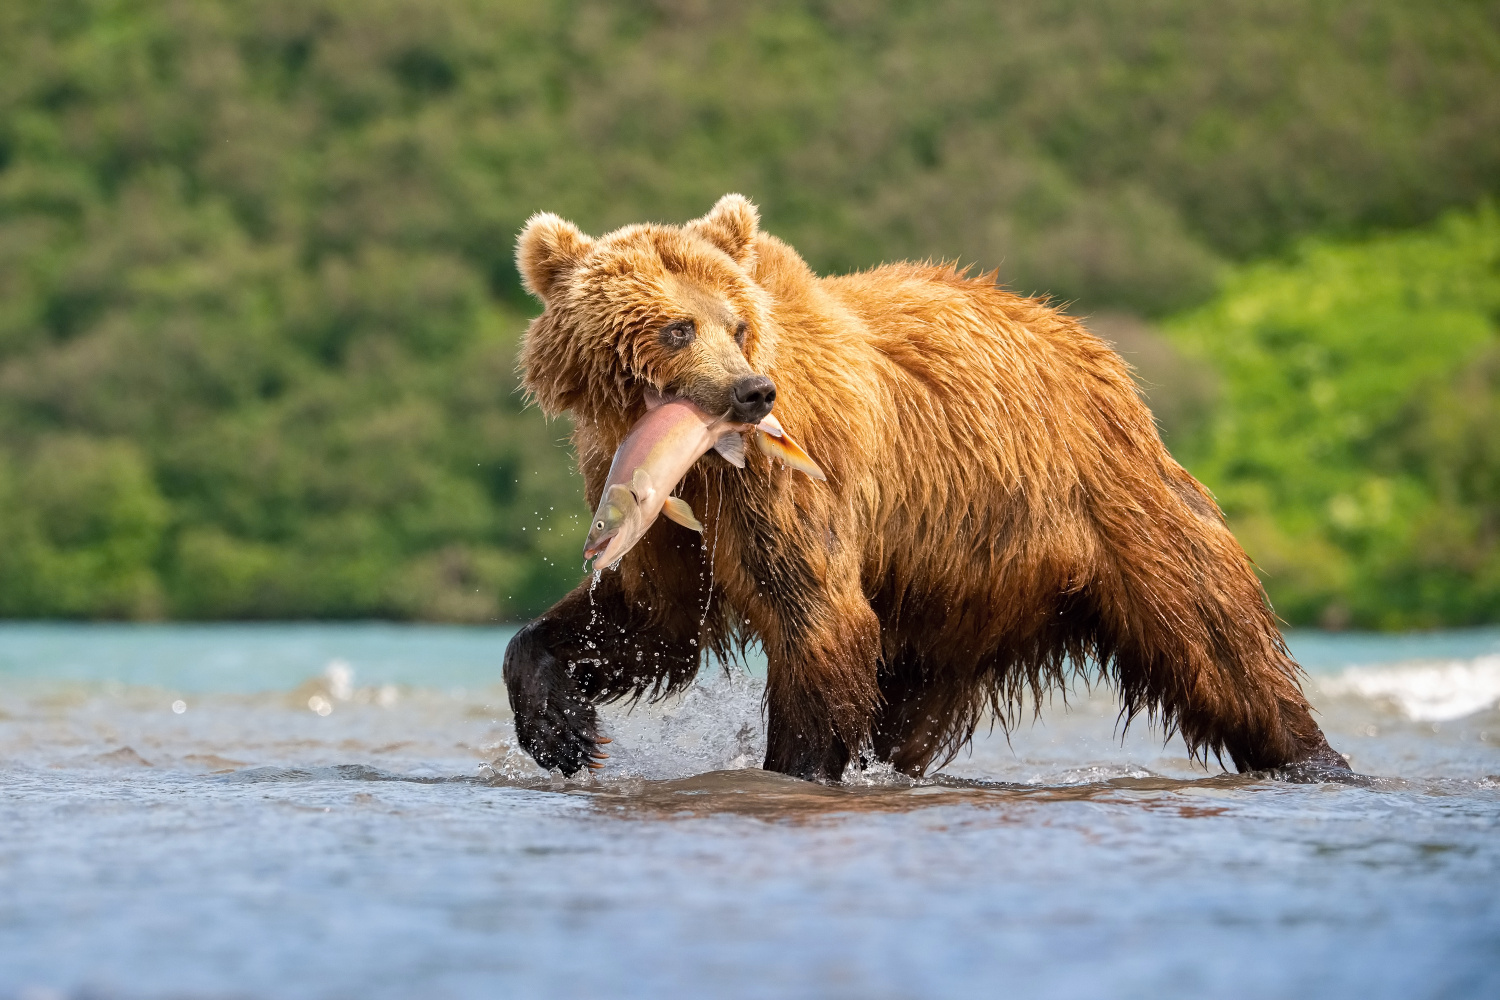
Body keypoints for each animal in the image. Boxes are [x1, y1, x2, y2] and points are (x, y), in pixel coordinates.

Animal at [504, 189, 1350, 779]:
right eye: (679, 327)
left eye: (738, 324)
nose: (751, 391)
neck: (704, 464)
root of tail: (1094, 350)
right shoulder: (664, 516)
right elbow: (649, 619)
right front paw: (563, 733)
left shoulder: (787, 490)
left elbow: (816, 618)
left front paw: (792, 768)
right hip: (957, 589)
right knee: (905, 698)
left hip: (1110, 504)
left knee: (1215, 639)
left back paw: (1313, 756)